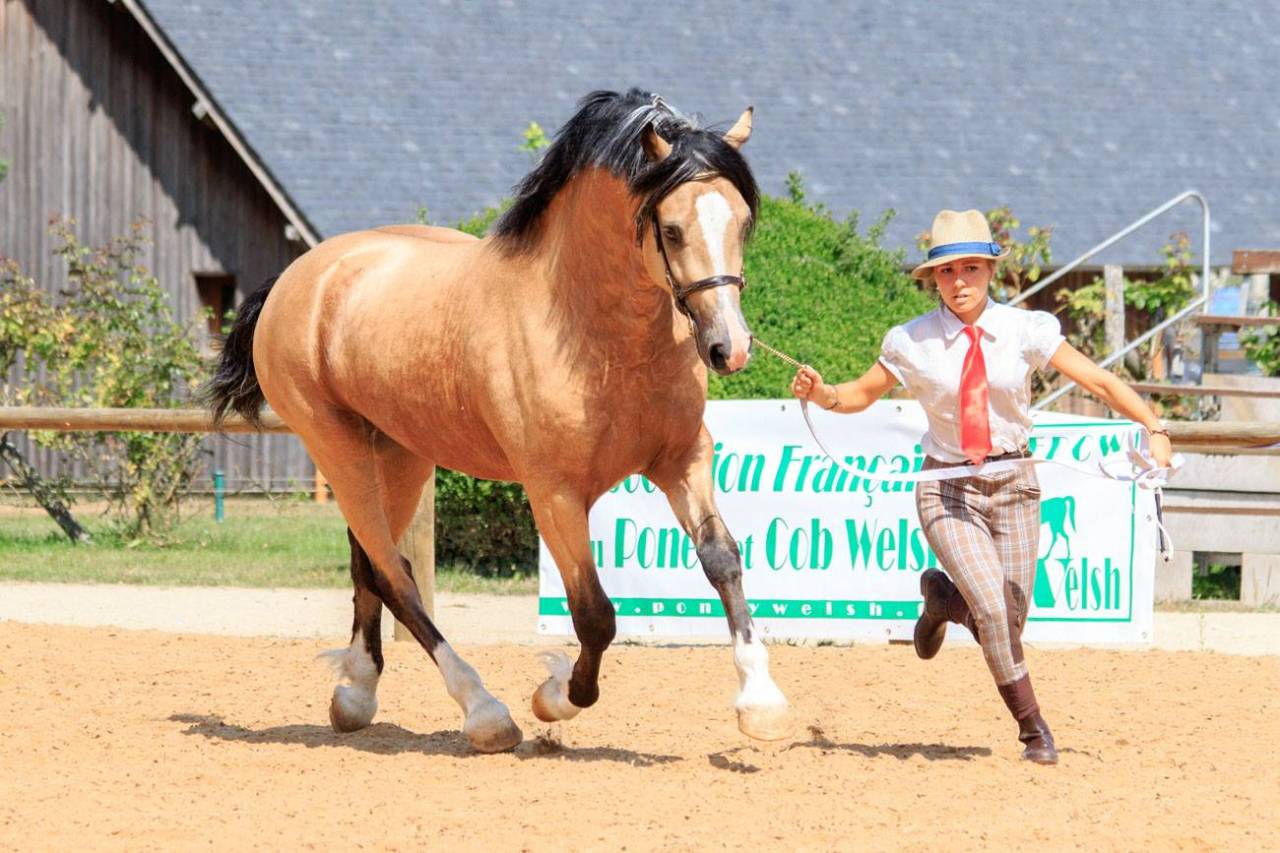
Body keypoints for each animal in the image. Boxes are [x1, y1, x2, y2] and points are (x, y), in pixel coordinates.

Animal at [206, 88, 791, 752]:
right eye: (670, 227)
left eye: (741, 221)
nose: (729, 348)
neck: (596, 335)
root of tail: (303, 274)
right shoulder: (555, 493)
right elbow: (594, 614)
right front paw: (554, 696)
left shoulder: (682, 460)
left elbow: (723, 560)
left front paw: (761, 702)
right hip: (336, 445)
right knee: (395, 576)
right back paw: (483, 710)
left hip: (399, 455)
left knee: (370, 566)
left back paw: (356, 693)